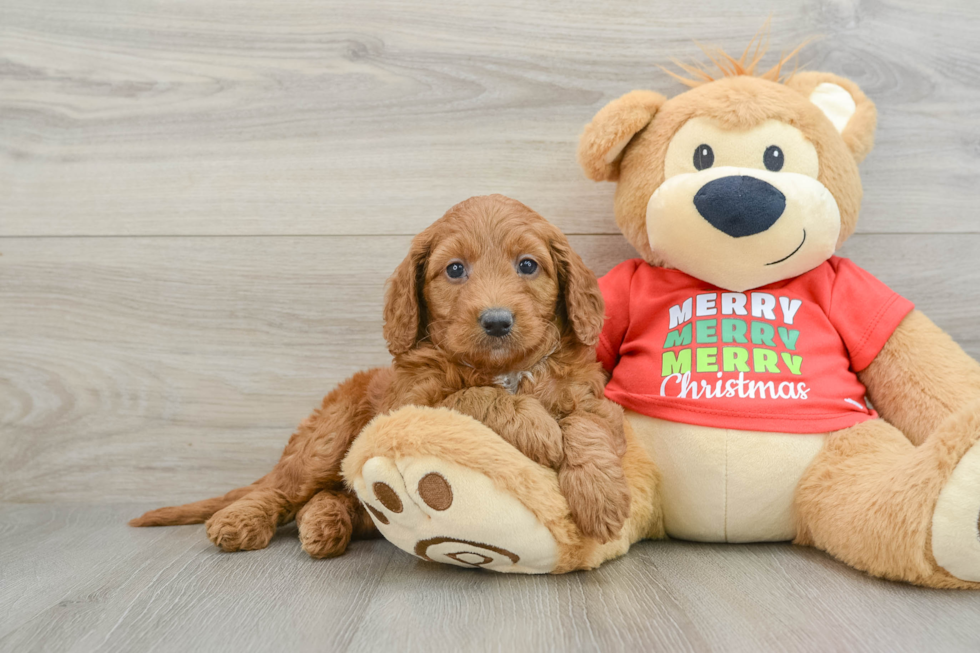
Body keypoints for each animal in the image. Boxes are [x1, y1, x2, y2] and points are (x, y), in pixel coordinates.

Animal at [132, 195, 628, 556]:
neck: (505, 369)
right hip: (327, 438)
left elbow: (588, 427)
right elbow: (469, 397)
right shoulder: (409, 403)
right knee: (283, 488)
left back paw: (324, 523)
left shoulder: (592, 398)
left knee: (338, 499)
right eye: (454, 269)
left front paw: (601, 496)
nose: (497, 321)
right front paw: (535, 426)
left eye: (527, 265)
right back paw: (240, 520)